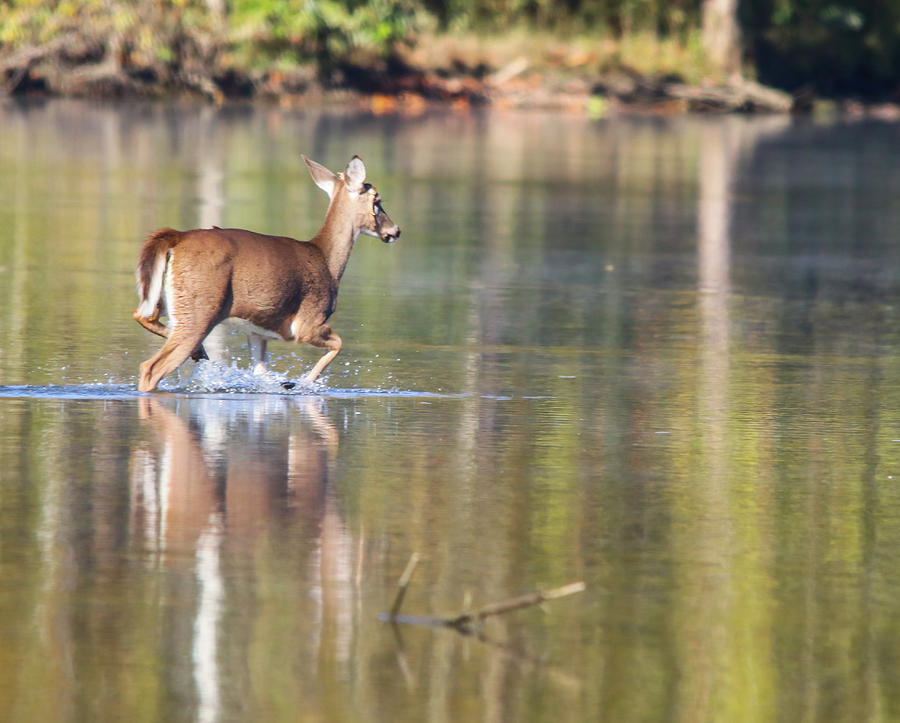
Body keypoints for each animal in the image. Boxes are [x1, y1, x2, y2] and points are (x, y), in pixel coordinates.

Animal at [132, 155, 400, 394]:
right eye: (377, 201)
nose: (395, 230)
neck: (327, 261)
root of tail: (177, 237)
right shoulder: (307, 323)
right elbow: (339, 344)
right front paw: (299, 383)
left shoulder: (258, 332)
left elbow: (262, 373)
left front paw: (286, 384)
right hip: (199, 308)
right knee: (150, 368)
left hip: (171, 301)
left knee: (143, 315)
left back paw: (200, 353)